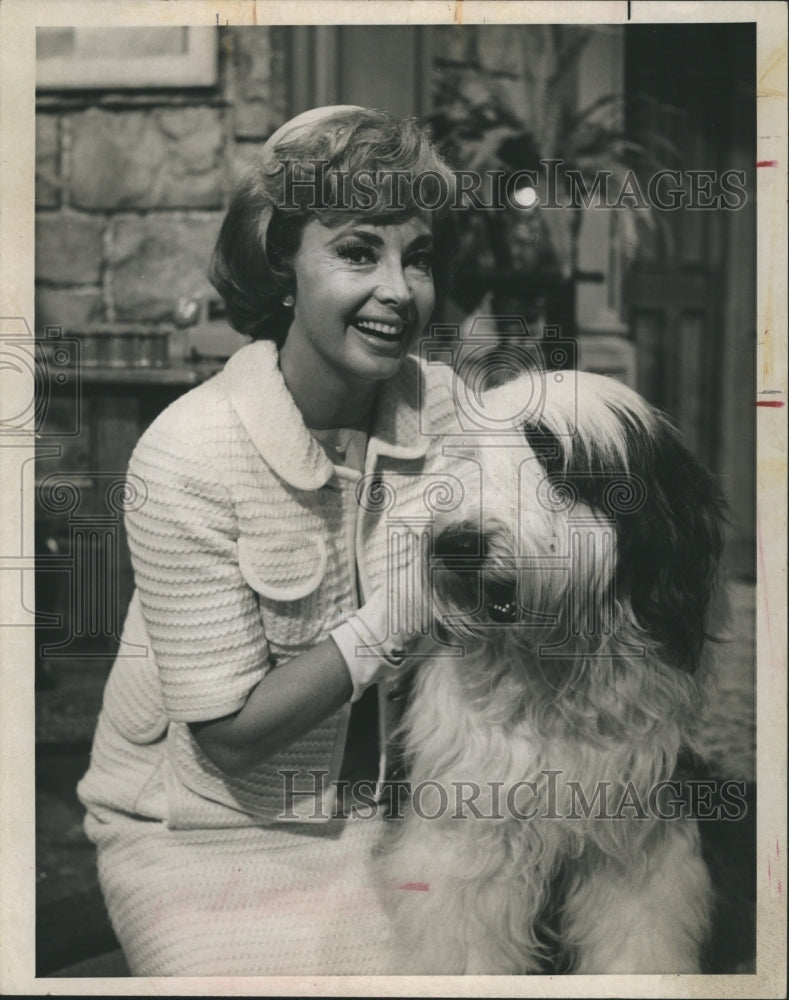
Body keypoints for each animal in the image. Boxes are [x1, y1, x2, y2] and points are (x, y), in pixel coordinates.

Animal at [378, 372, 724, 972]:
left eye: (551, 455)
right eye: (469, 458)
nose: (456, 544)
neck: (552, 678)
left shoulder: (639, 843)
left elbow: (639, 940)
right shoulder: (466, 834)